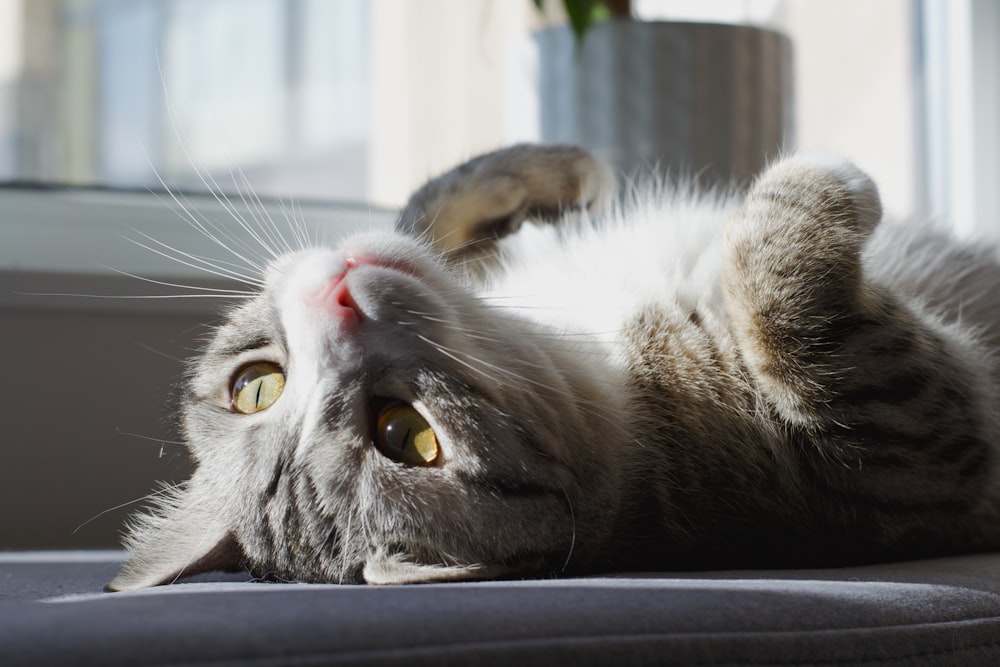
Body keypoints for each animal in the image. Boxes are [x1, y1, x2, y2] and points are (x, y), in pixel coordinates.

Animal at [107, 144, 1000, 592]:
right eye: (408, 436)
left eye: (255, 384)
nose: (338, 295)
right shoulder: (899, 442)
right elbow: (785, 307)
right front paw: (823, 187)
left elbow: (432, 207)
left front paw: (556, 171)